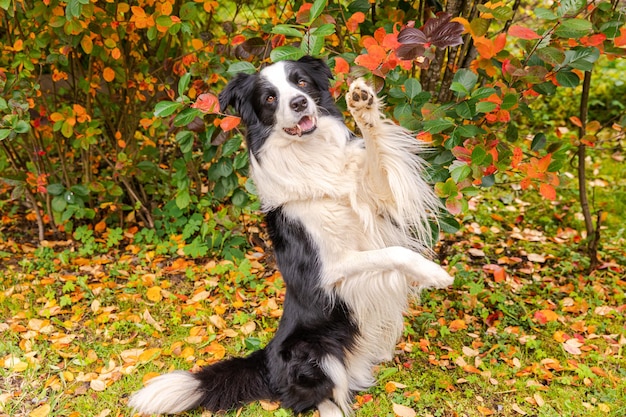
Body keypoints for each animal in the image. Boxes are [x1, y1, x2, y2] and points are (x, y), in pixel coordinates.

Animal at [130, 56, 454, 416]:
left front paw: (362, 105)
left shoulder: (379, 199)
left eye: (301, 82)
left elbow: (377, 152)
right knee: (311, 398)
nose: (299, 103)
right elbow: (393, 253)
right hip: (313, 354)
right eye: (270, 98)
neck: (311, 155)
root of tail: (266, 357)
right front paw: (433, 273)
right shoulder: (330, 268)